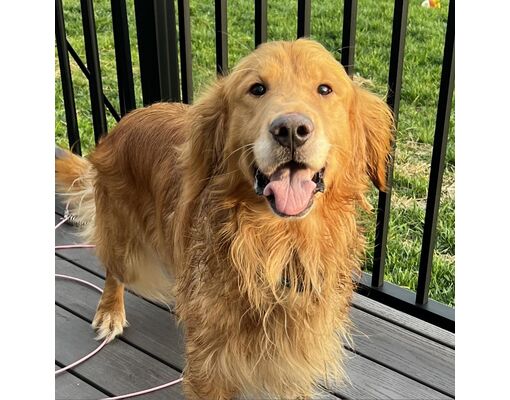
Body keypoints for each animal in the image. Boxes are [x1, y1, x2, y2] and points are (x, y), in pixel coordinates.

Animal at [55, 39, 392, 398]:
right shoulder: (210, 364)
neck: (278, 248)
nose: (290, 130)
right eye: (257, 89)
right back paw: (109, 312)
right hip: (121, 235)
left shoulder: (294, 364)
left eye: (325, 89)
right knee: (114, 270)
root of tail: (126, 119)